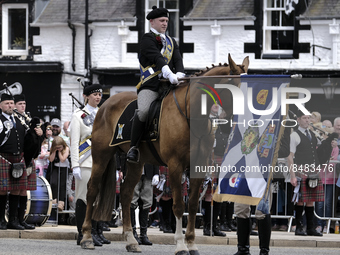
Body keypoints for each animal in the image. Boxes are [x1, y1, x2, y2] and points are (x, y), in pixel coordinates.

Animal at [80, 52, 250, 254]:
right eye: (235, 87)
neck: (191, 115)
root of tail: (104, 105)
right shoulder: (175, 166)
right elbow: (178, 206)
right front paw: (180, 245)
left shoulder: (198, 167)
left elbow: (193, 205)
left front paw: (191, 243)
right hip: (101, 156)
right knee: (92, 190)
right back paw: (87, 237)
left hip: (136, 164)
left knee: (126, 194)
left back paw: (131, 241)